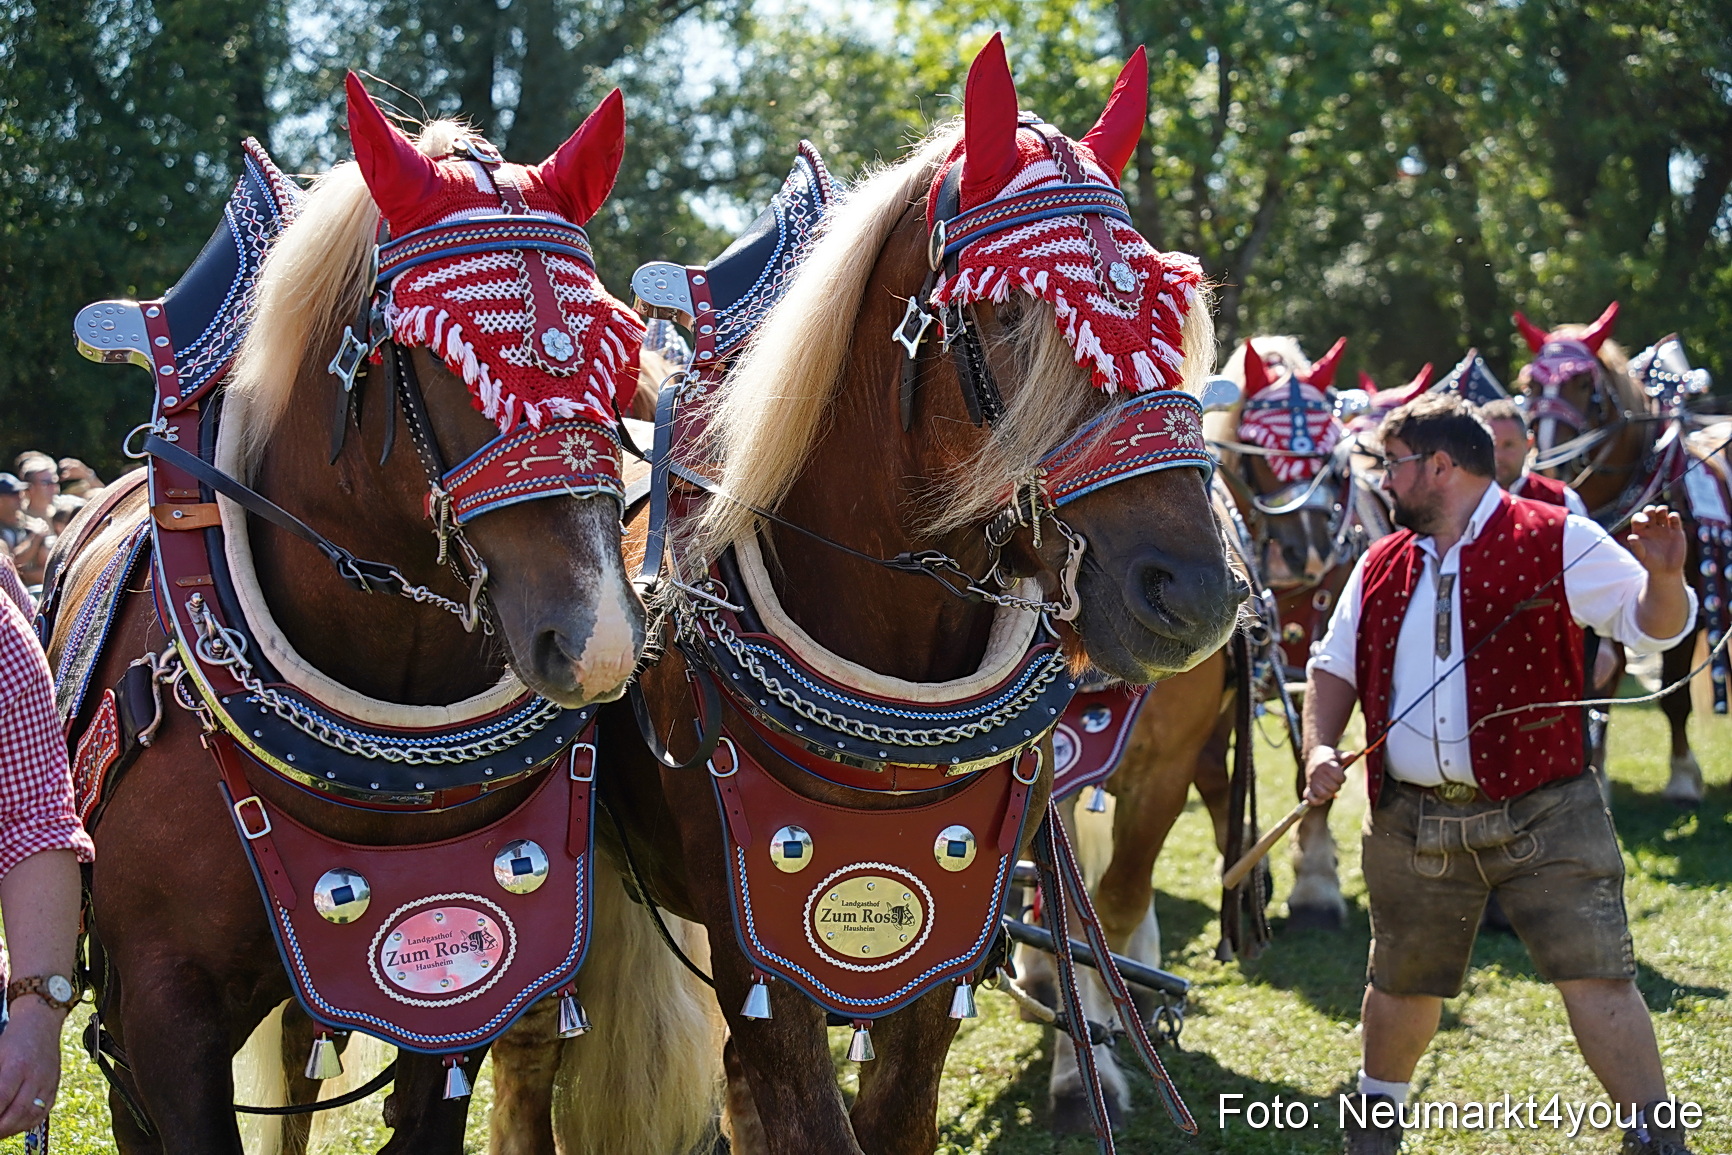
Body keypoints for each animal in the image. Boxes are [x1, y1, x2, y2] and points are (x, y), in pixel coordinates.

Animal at [506, 36, 1241, 1155]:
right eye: (1009, 312)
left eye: (1172, 306)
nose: (1196, 589)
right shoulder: (760, 950)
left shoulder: (941, 945)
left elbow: (894, 1112)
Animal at [1514, 304, 1728, 806]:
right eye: (1529, 384)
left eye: (1583, 383)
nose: (1551, 464)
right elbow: (1598, 686)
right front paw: (1597, 771)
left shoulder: (1688, 605)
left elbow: (1674, 694)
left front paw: (1683, 776)